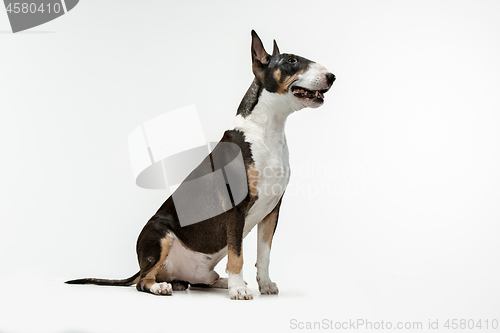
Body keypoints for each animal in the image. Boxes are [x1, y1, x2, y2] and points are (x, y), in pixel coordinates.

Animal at [64, 31, 334, 300]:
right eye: (291, 60)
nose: (332, 77)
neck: (266, 131)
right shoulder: (236, 207)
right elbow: (237, 254)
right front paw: (239, 289)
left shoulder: (272, 209)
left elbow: (264, 253)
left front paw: (264, 285)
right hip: (159, 234)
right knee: (143, 281)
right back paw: (164, 286)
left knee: (197, 282)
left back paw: (219, 281)